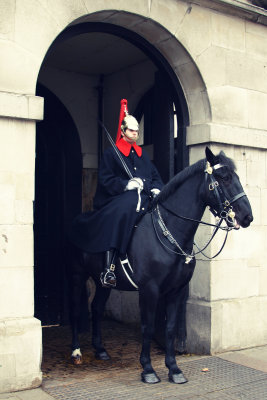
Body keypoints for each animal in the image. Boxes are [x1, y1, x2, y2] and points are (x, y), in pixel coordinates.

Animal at [68, 147, 253, 384]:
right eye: (224, 177)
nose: (247, 216)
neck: (171, 232)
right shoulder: (150, 290)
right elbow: (148, 327)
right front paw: (148, 369)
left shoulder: (176, 290)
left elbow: (171, 328)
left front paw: (174, 369)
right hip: (77, 275)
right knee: (75, 310)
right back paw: (76, 352)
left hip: (103, 284)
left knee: (97, 308)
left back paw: (100, 349)